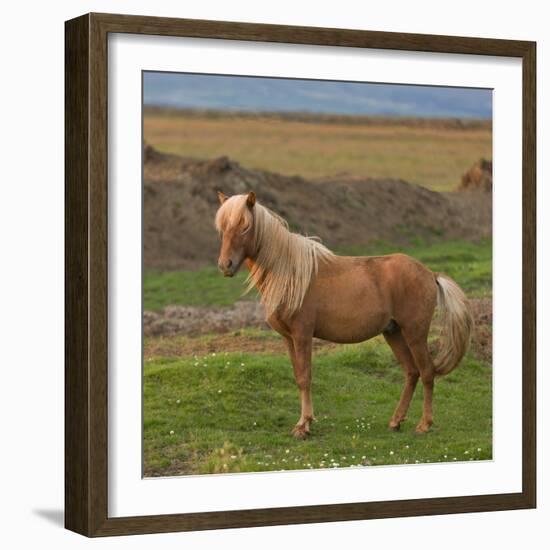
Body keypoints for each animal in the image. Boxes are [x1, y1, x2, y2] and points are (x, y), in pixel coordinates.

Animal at [216, 192, 474, 442]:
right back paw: (395, 421)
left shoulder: (302, 336)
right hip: (394, 333)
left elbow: (305, 378)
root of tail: (430, 273)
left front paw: (304, 426)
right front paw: (303, 422)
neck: (291, 273)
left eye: (245, 226)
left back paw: (424, 425)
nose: (225, 265)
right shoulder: (288, 339)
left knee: (427, 372)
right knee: (412, 372)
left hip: (415, 333)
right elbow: (298, 377)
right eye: (222, 228)